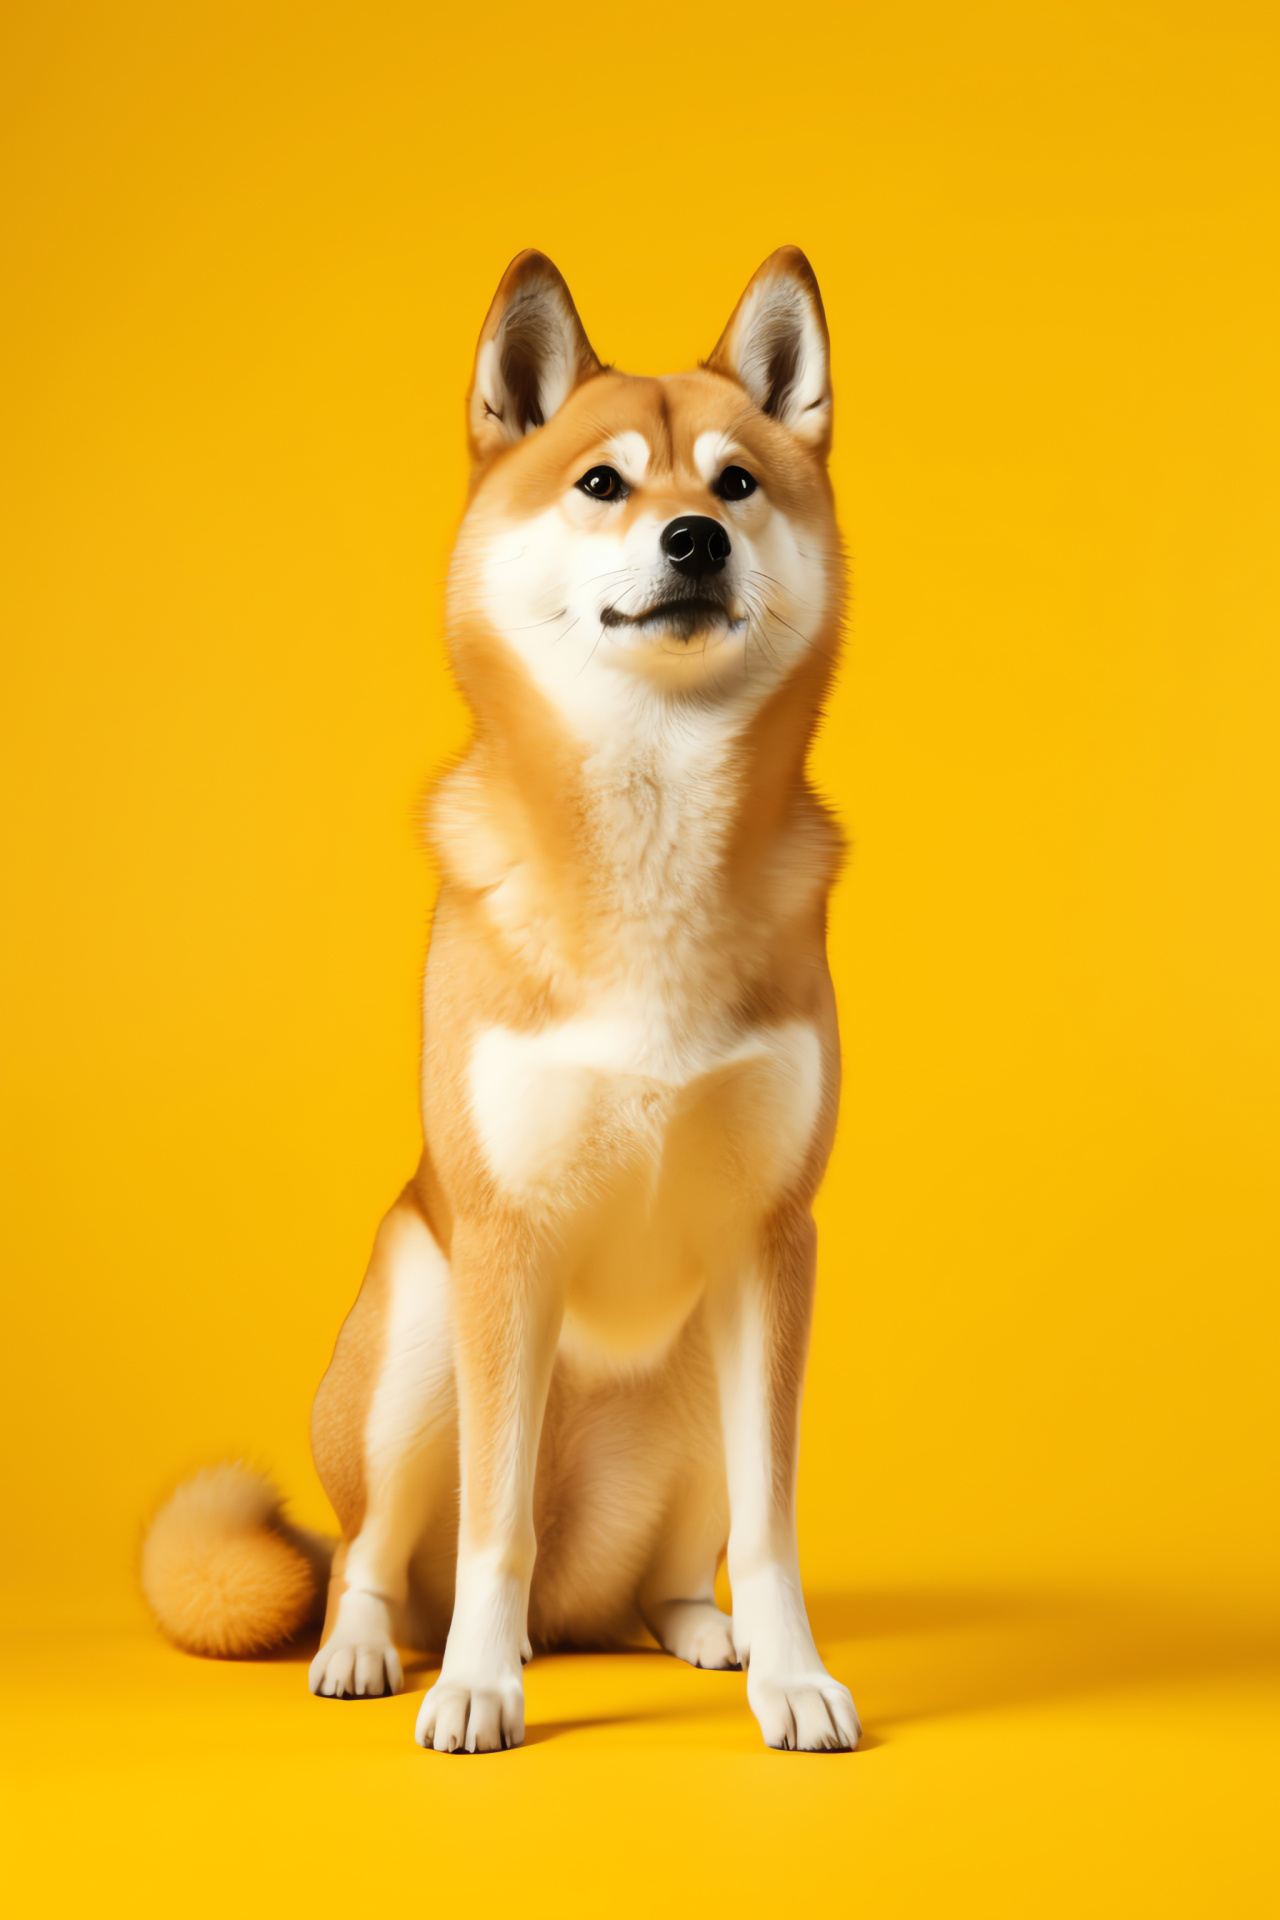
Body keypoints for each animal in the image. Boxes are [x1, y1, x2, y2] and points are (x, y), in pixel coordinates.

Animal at [142, 243, 859, 1758]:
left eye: (736, 482)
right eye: (602, 482)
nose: (693, 538)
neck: (650, 831)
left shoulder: (773, 1246)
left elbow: (772, 1530)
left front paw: (792, 1676)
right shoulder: (503, 1244)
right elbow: (491, 1528)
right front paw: (476, 1684)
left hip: (696, 1389)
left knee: (666, 1568)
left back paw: (699, 1632)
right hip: (417, 1342)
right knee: (375, 1556)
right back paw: (373, 1649)